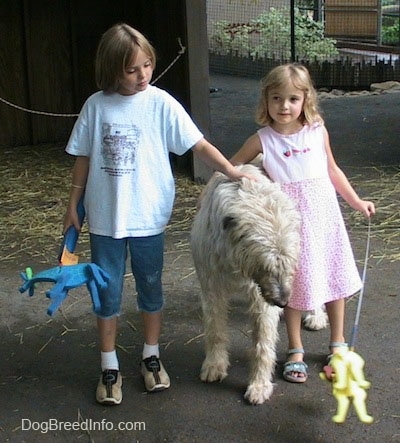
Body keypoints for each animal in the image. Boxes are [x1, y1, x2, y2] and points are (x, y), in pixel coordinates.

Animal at [191, 164, 300, 406]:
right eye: (266, 265)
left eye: (288, 263)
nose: (283, 302)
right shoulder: (211, 286)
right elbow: (214, 328)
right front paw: (215, 363)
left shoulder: (262, 299)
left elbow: (263, 342)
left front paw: (259, 385)